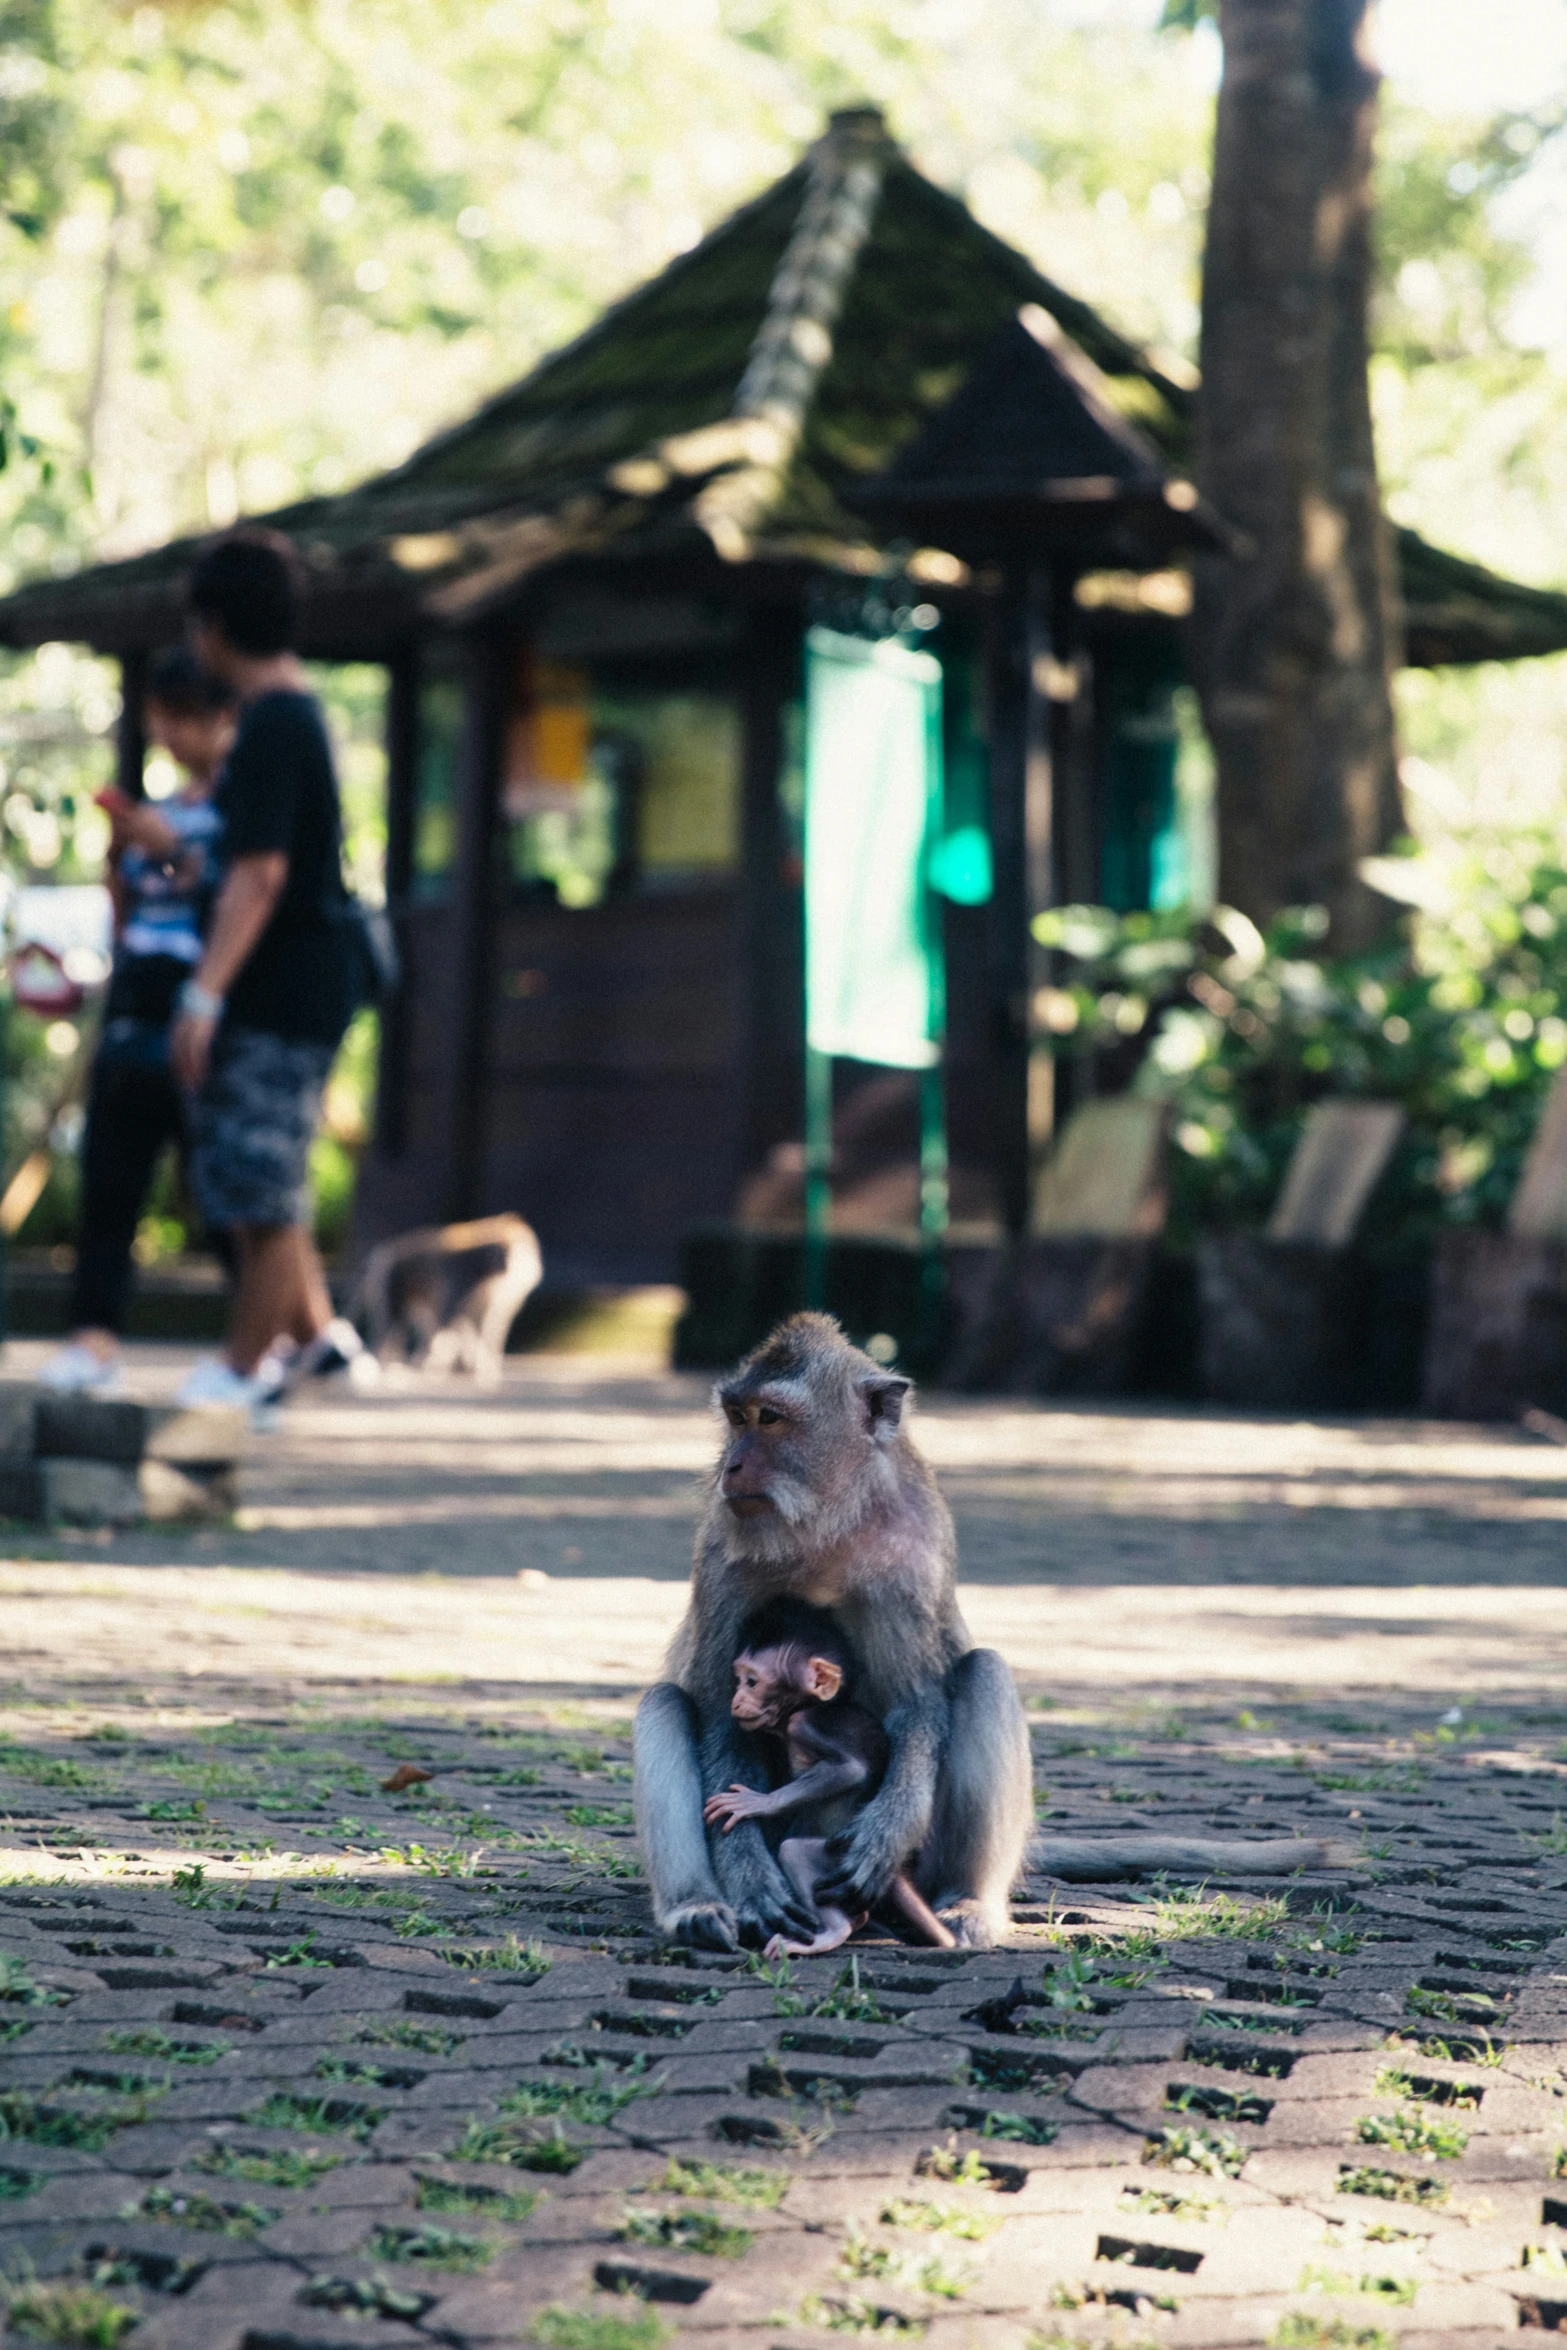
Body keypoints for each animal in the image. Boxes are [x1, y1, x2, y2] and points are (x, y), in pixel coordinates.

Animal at [709, 1597, 958, 1964]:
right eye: (739, 1679)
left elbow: (850, 1770)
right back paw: (855, 1921)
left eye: (751, 1682)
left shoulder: (805, 1724)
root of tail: (896, 1873)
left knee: (794, 1851)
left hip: (835, 1858)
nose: (736, 1699)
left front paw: (760, 1803)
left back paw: (833, 1932)